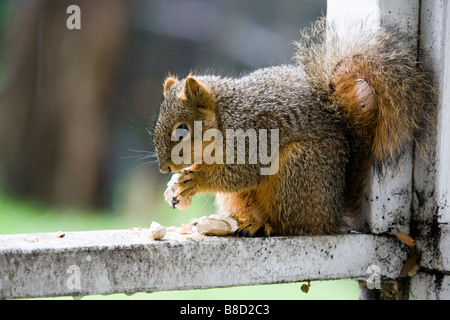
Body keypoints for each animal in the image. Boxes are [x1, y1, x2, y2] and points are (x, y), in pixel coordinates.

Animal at [152, 18, 436, 236]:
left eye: (182, 130)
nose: (164, 168)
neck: (224, 118)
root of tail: (332, 212)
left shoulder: (251, 137)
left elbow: (240, 173)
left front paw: (194, 180)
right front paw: (174, 188)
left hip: (296, 171)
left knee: (290, 225)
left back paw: (261, 226)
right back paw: (241, 222)